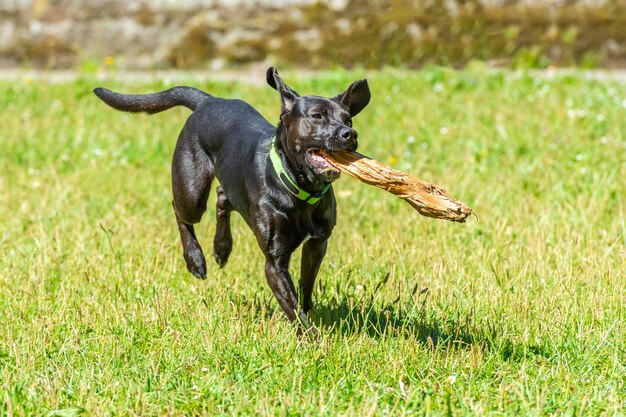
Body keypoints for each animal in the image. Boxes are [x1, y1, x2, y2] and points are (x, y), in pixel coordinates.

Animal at [90, 68, 368, 332]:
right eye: (317, 116)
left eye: (348, 119)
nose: (350, 134)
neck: (297, 188)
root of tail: (208, 101)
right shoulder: (274, 262)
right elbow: (293, 307)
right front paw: (312, 338)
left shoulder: (317, 243)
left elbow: (306, 285)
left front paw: (311, 312)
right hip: (191, 193)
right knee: (180, 212)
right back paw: (195, 259)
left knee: (223, 198)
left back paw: (222, 247)